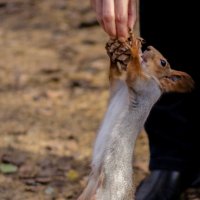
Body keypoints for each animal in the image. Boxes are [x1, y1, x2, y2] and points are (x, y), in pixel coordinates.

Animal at [77, 36, 194, 200]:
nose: (149, 47)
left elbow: (133, 73)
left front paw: (133, 50)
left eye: (163, 62)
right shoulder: (117, 85)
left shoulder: (144, 86)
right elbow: (114, 75)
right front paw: (113, 51)